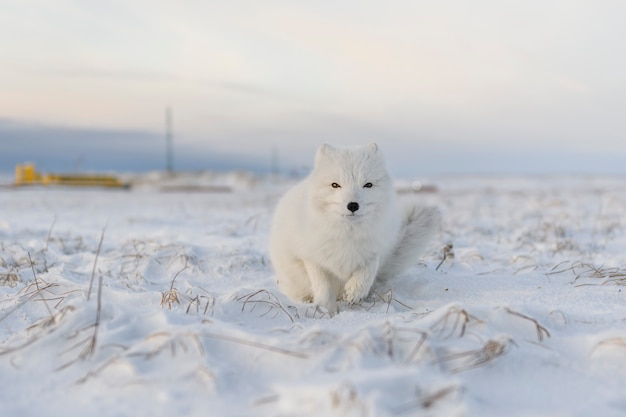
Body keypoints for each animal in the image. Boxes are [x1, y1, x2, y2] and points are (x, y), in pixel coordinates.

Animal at [270, 144, 438, 316]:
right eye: (335, 185)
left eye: (368, 185)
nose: (352, 205)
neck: (347, 234)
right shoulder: (311, 257)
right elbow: (322, 285)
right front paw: (326, 310)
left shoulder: (375, 249)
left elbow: (368, 269)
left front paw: (355, 291)